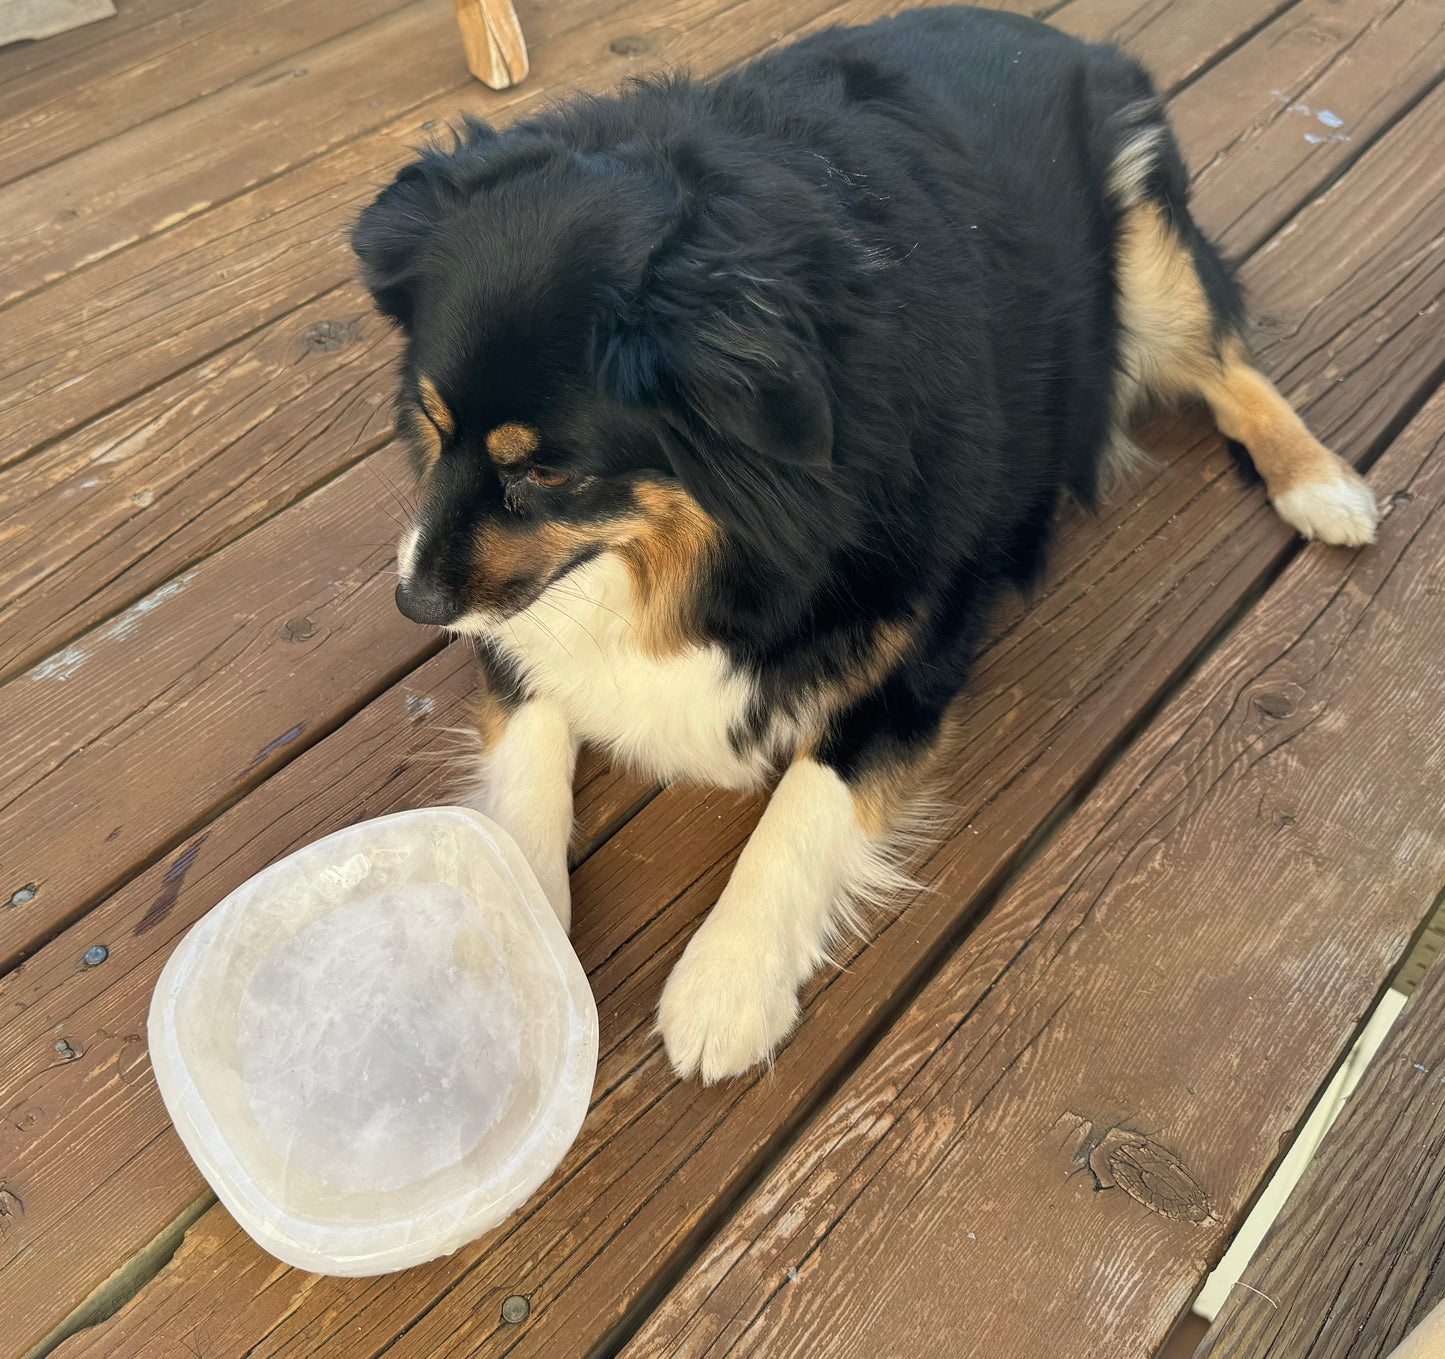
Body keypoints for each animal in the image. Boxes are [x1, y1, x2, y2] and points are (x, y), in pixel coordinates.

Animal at [352, 0, 1375, 1081]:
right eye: (430, 421)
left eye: (545, 471)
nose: (413, 603)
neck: (720, 554)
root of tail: (1049, 32)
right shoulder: (521, 630)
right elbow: (526, 757)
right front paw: (510, 936)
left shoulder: (913, 656)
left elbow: (805, 804)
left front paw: (727, 980)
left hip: (1143, 253)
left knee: (1228, 363)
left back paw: (1321, 485)